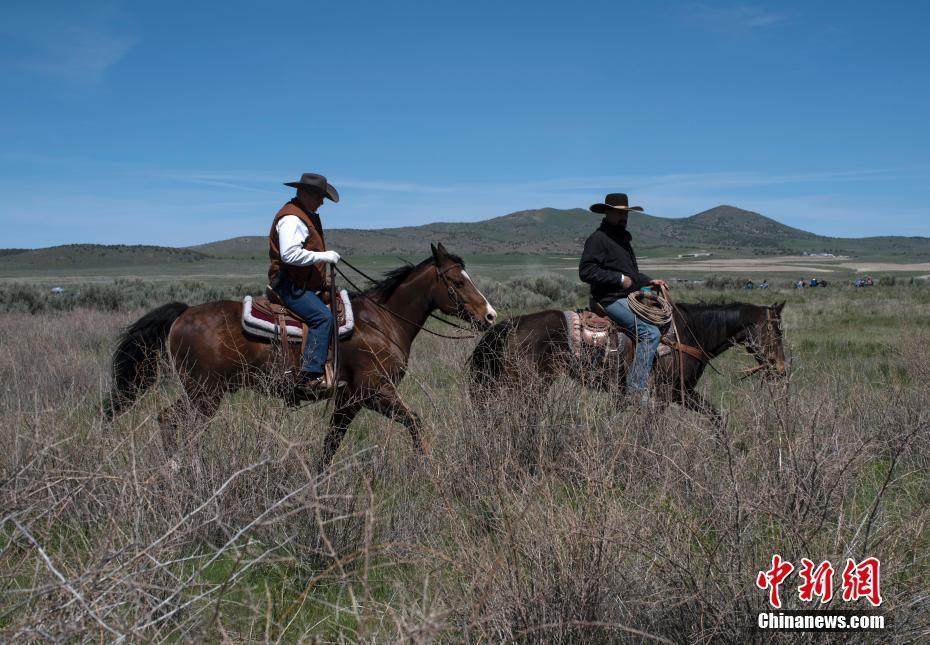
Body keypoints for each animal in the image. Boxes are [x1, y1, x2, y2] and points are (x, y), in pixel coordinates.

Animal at [108, 244, 496, 466]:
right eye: (458, 282)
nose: (490, 316)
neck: (382, 322)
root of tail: (185, 312)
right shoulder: (376, 392)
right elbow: (415, 422)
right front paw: (428, 468)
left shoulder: (350, 399)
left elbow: (331, 443)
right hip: (205, 393)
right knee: (179, 426)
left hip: (202, 391)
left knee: (168, 419)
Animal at [472, 300, 784, 422]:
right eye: (777, 332)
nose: (781, 369)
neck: (689, 334)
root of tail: (510, 325)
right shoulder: (663, 393)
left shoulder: (682, 392)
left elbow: (716, 418)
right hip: (526, 384)